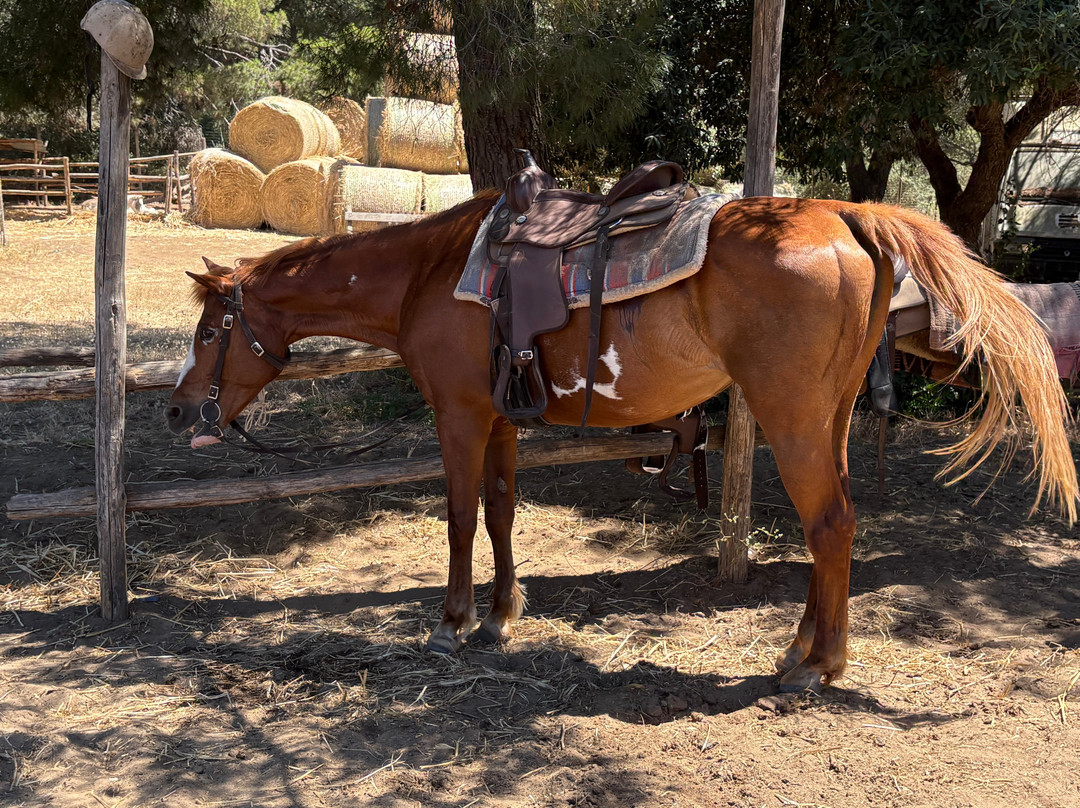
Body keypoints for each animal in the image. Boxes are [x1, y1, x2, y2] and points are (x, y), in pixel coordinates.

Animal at [167, 190, 1078, 692]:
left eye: (212, 329)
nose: (178, 413)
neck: (432, 271)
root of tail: (846, 215)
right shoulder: (501, 419)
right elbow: (501, 512)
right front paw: (501, 617)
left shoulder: (460, 414)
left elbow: (459, 519)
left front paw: (452, 621)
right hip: (834, 416)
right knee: (840, 526)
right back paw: (804, 652)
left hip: (792, 419)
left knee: (829, 526)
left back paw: (810, 667)